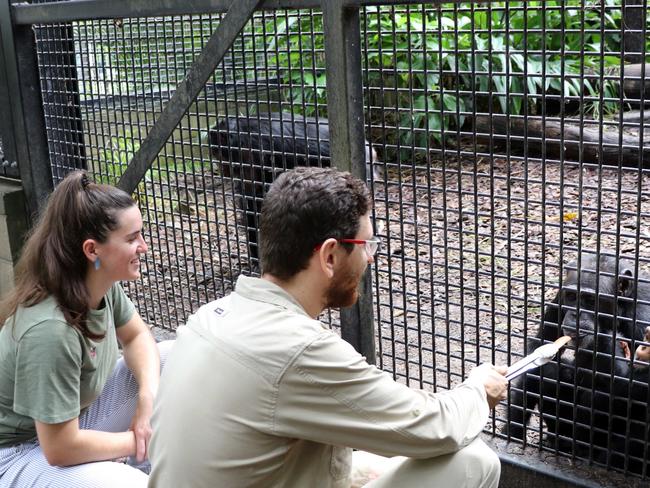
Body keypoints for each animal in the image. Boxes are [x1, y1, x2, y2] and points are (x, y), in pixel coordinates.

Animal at [506, 254, 648, 474]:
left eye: (590, 300)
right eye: (572, 296)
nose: (576, 314)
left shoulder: (643, 317)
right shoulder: (559, 298)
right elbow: (539, 350)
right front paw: (512, 431)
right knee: (547, 372)